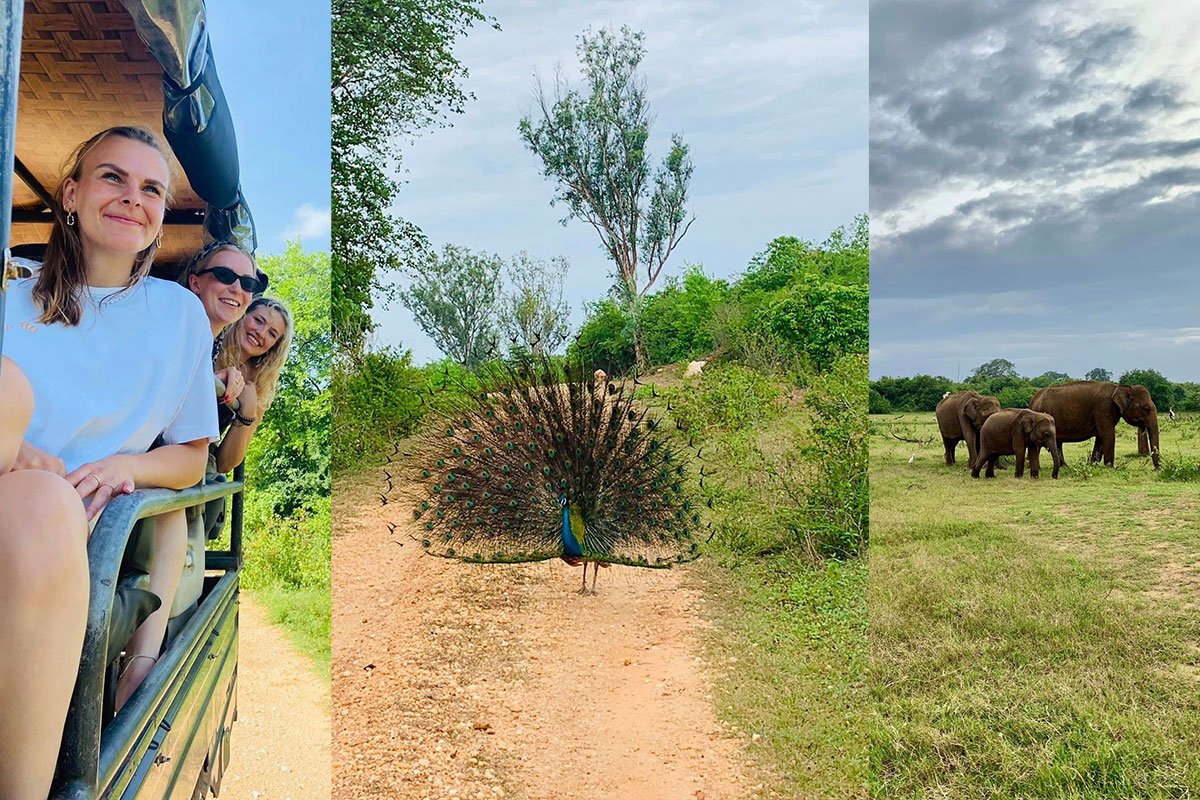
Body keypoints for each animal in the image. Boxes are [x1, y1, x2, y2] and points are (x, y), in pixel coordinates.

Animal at [1030, 381, 1160, 469]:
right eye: (1146, 408)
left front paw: (1092, 465)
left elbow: (1100, 437)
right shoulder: (1103, 408)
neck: (1120, 387)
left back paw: (1064, 467)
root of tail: (1033, 400)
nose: (1157, 469)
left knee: (1057, 442)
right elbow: (1108, 435)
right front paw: (1110, 467)